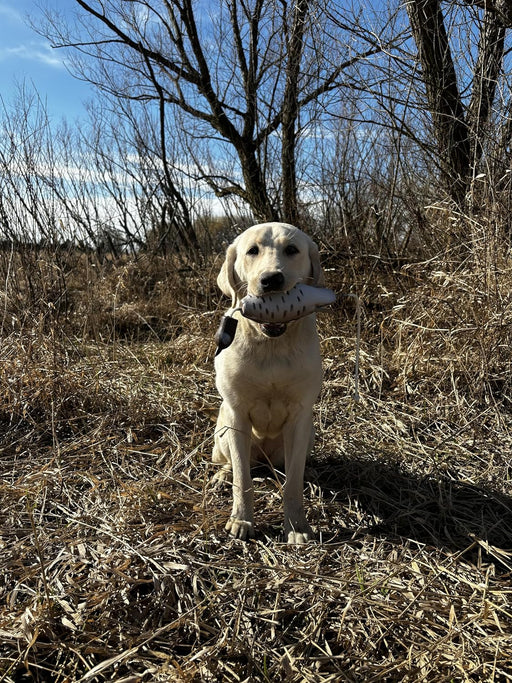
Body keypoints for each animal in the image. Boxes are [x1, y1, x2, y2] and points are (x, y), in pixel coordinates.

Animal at [214, 224, 326, 544]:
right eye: (252, 251)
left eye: (292, 250)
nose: (271, 279)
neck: (272, 345)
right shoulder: (237, 415)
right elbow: (242, 479)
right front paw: (241, 520)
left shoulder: (300, 418)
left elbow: (292, 485)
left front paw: (297, 526)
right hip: (222, 431)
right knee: (232, 464)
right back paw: (222, 475)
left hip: (309, 434)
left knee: (291, 467)